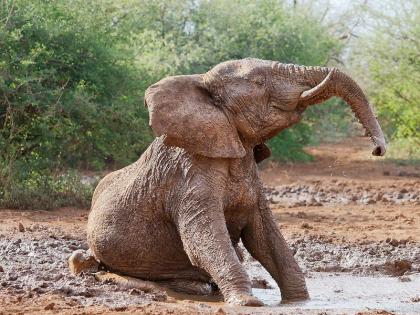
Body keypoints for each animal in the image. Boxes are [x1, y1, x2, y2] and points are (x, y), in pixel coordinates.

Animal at [84, 58, 388, 308]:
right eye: (259, 82)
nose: (378, 150)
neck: (201, 81)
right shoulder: (188, 177)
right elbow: (203, 238)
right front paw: (247, 303)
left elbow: (265, 237)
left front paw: (300, 302)